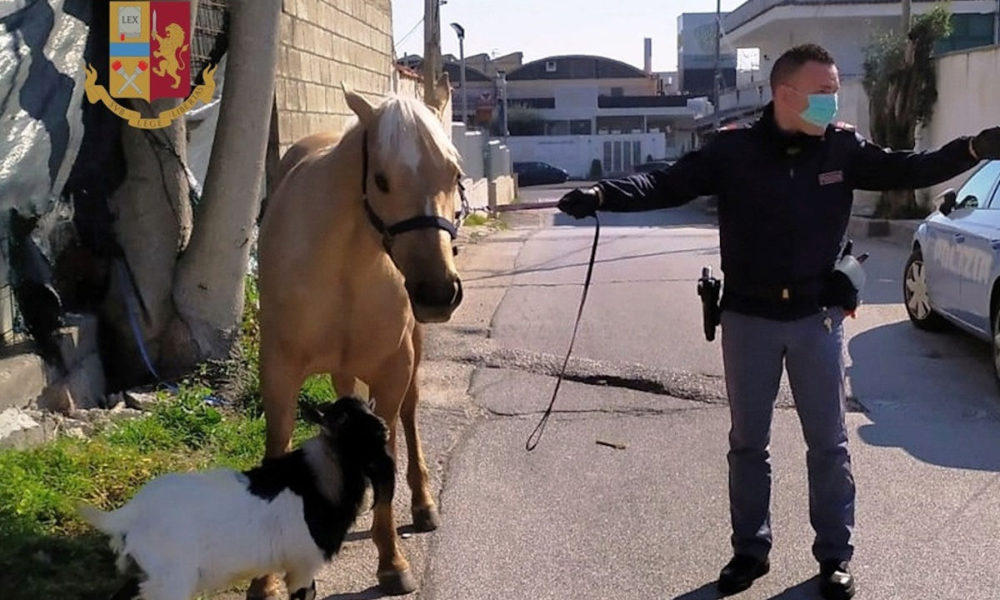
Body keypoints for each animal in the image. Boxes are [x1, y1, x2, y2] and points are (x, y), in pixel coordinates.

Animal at [251, 75, 464, 598]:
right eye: (382, 179)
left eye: (454, 174)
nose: (437, 292)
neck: (346, 260)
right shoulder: (279, 371)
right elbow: (277, 447)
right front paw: (265, 583)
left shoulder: (393, 370)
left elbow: (389, 445)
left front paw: (391, 563)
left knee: (410, 415)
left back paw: (423, 505)